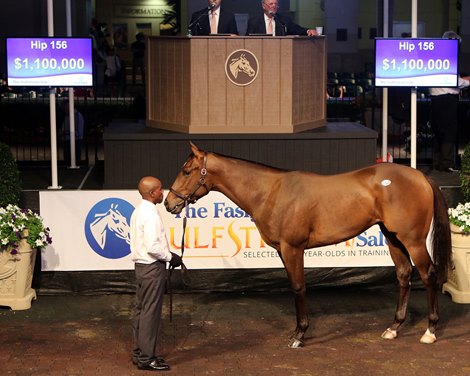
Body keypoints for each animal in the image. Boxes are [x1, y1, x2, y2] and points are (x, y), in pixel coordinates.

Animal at [165, 142, 452, 348]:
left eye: (187, 171)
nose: (170, 203)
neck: (271, 191)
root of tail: (421, 176)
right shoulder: (283, 251)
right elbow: (295, 285)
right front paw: (298, 331)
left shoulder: (293, 248)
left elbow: (298, 287)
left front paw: (299, 335)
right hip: (393, 238)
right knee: (404, 274)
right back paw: (393, 328)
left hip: (413, 241)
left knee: (428, 274)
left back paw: (430, 331)